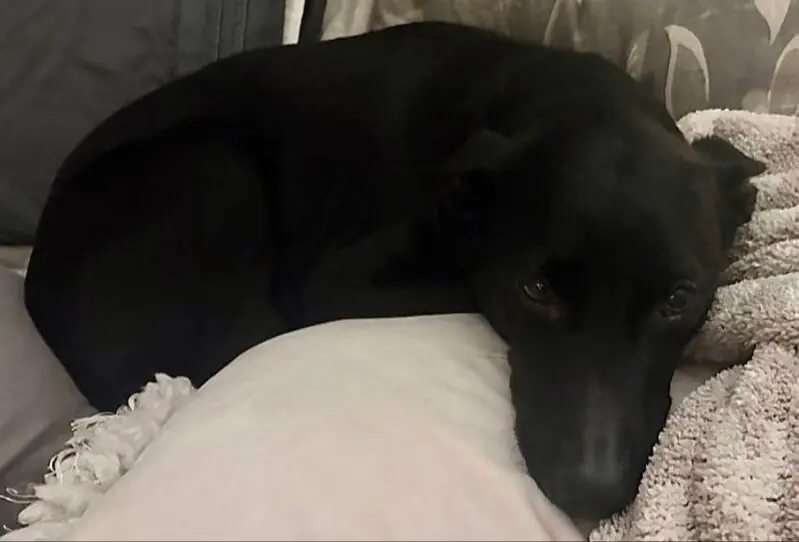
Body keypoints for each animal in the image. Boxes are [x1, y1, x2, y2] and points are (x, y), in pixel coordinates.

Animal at [24, 21, 765, 522]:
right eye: (534, 290)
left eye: (677, 299)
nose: (590, 492)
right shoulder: (337, 281)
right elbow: (468, 277)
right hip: (215, 162)